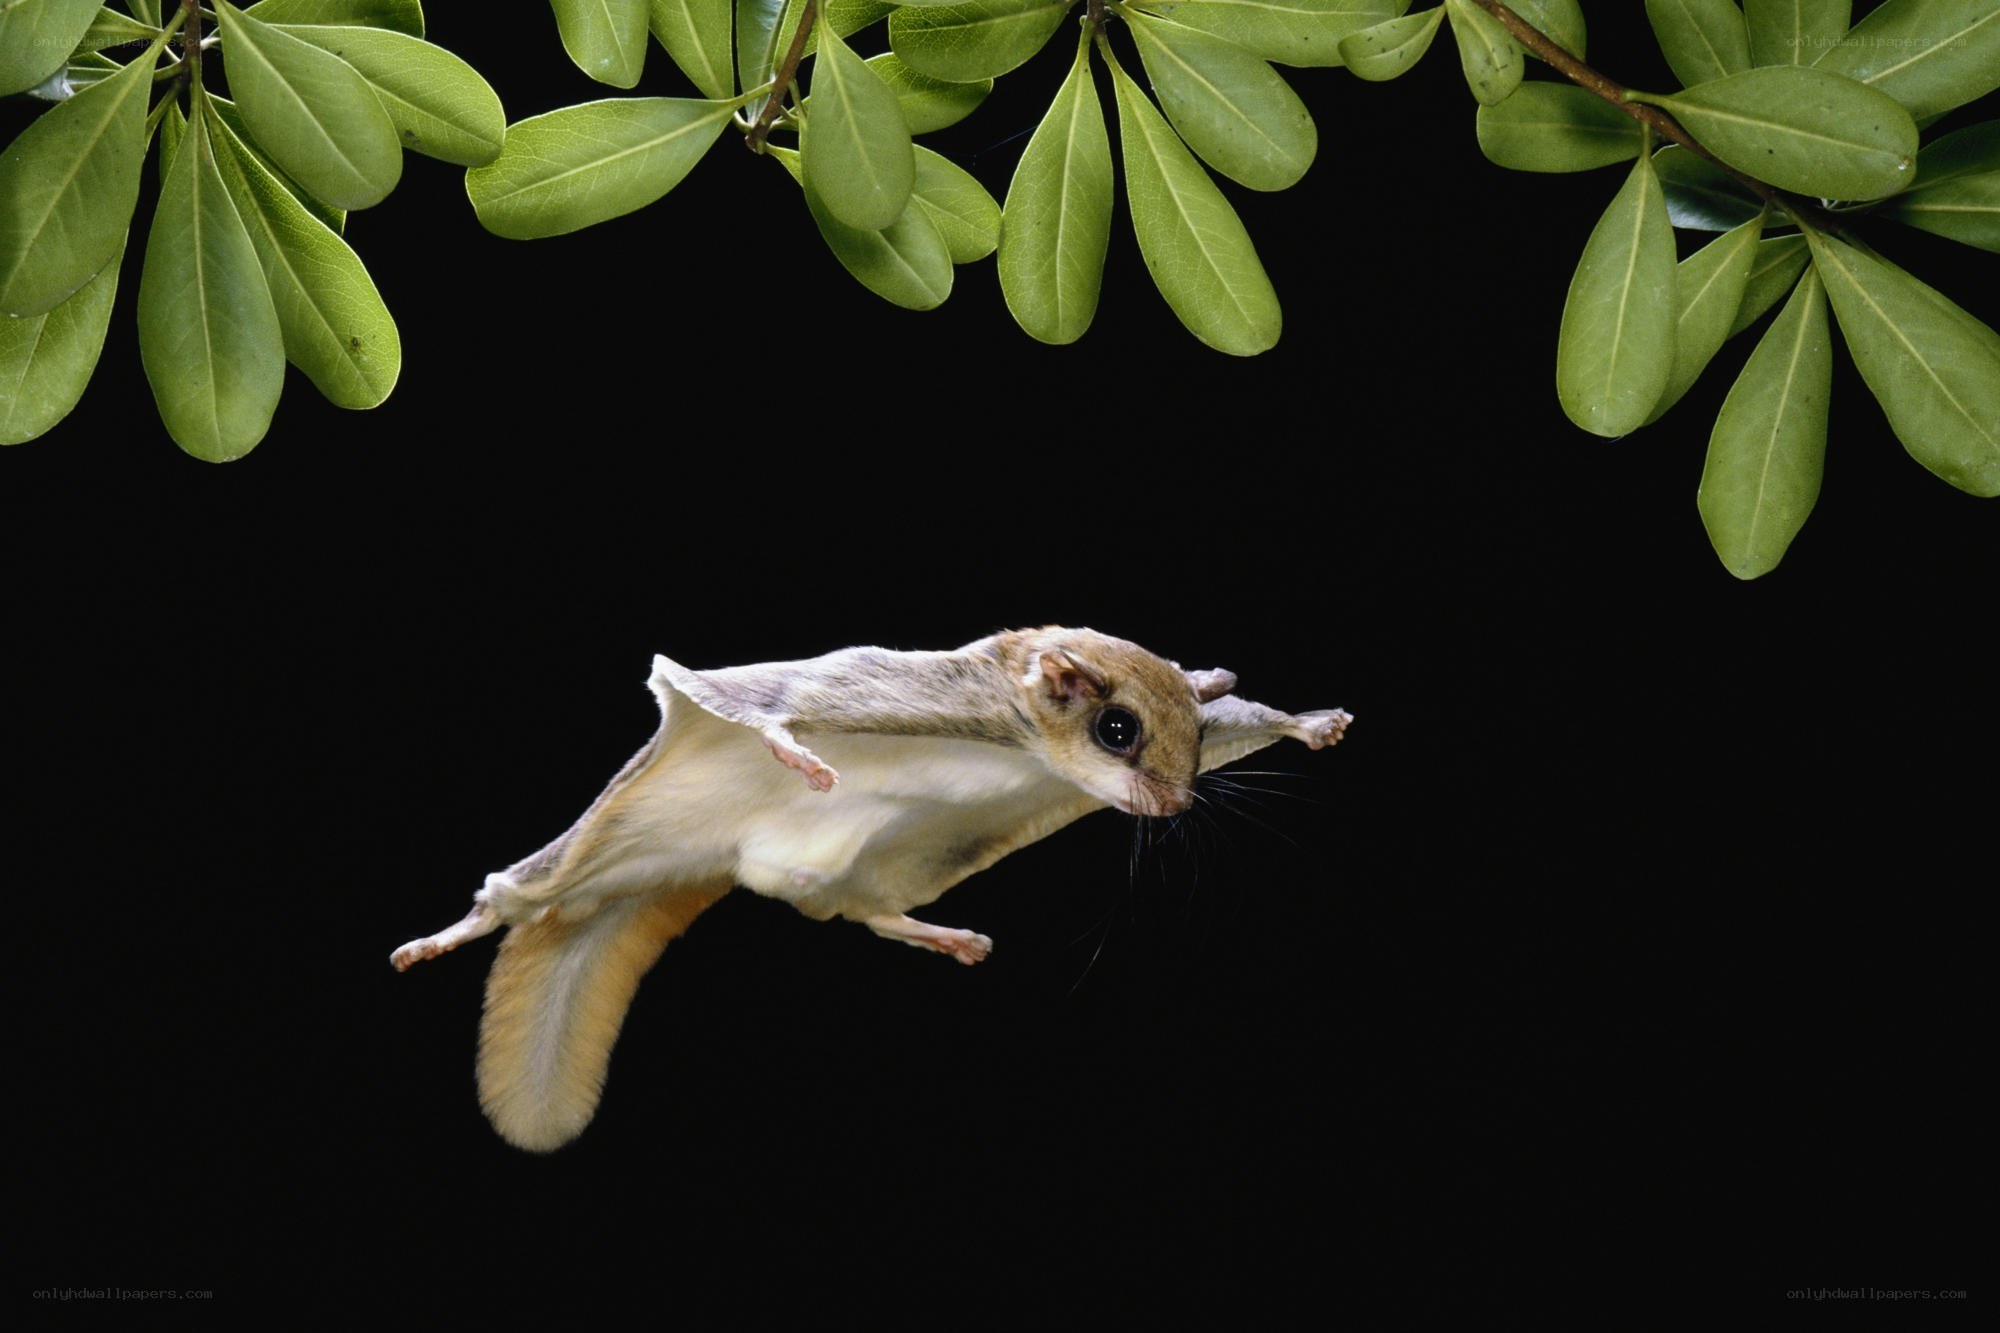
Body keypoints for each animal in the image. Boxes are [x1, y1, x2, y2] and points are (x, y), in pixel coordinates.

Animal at [391, 626, 1351, 1151]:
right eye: (1118, 729)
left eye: (1192, 742)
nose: (1177, 803)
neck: (1025, 736)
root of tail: (710, 858)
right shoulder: (891, 683)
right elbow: (760, 697)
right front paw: (793, 751)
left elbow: (1247, 718)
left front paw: (1310, 723)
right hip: (602, 841)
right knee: (516, 892)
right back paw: (443, 936)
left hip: (880, 864)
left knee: (862, 910)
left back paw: (943, 934)